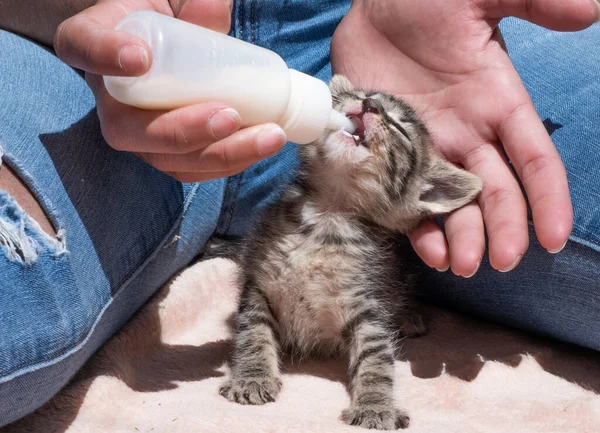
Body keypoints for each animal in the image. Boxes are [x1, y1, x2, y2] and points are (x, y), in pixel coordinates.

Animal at [220, 75, 482, 428]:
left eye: (400, 129)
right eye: (361, 95)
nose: (370, 105)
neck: (328, 214)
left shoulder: (368, 306)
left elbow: (376, 360)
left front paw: (375, 406)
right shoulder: (259, 285)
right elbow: (252, 333)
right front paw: (252, 377)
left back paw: (410, 317)